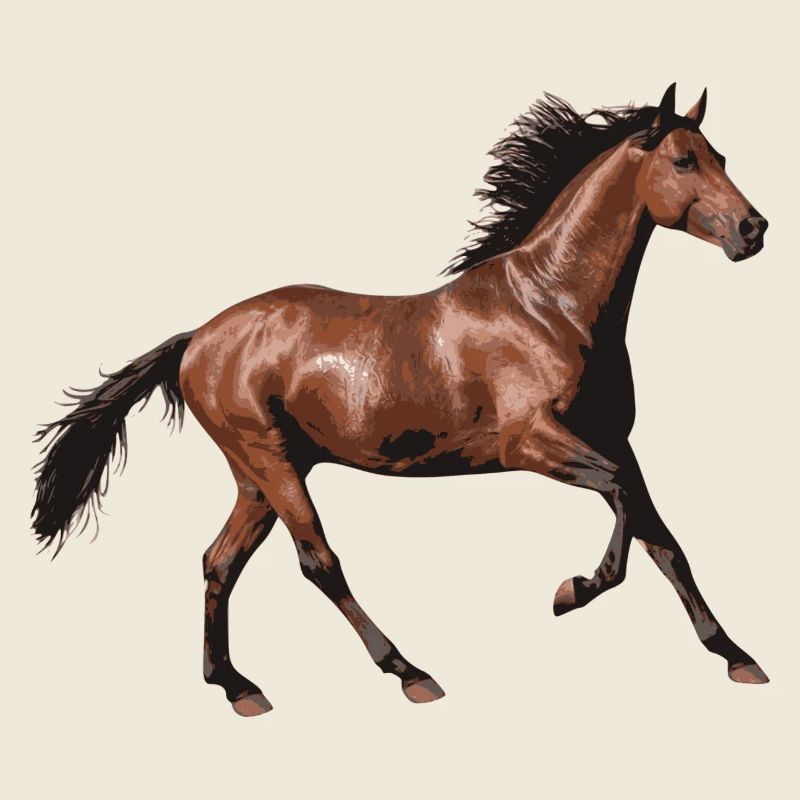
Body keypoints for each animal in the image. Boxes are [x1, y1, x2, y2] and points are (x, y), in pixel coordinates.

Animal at [32, 83, 770, 717]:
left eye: (721, 157)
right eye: (683, 159)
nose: (754, 229)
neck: (550, 307)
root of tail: (196, 339)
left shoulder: (615, 439)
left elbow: (663, 538)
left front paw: (737, 657)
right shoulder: (532, 442)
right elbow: (620, 502)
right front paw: (571, 592)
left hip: (257, 476)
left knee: (219, 562)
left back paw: (237, 686)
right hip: (270, 462)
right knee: (318, 562)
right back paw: (410, 672)